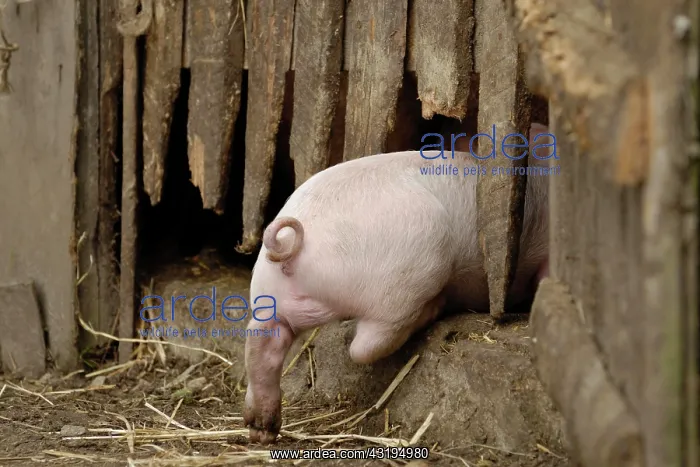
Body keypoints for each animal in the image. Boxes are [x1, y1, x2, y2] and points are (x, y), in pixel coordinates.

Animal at [243, 123, 553, 444]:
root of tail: (293, 243)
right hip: (408, 275)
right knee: (366, 345)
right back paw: (434, 308)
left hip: (272, 297)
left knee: (263, 339)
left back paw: (261, 430)